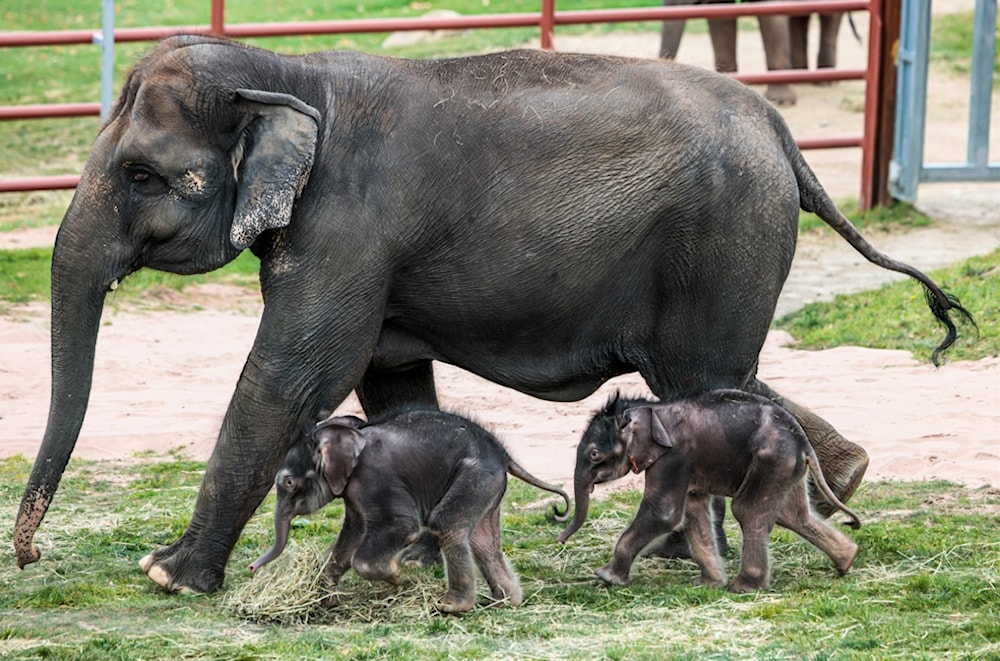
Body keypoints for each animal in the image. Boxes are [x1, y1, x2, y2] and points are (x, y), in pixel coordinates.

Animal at [250, 408, 572, 612]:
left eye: (289, 483)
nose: (252, 568)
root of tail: (503, 454)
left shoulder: (376, 478)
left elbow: (401, 527)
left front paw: (398, 577)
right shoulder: (354, 494)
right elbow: (352, 534)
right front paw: (325, 599)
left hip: (476, 474)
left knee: (447, 525)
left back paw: (452, 606)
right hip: (488, 484)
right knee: (482, 541)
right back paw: (506, 602)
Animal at [560, 390, 864, 592]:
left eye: (594, 454)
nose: (560, 538)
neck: (651, 409)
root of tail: (803, 442)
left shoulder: (674, 457)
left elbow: (664, 513)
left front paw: (605, 577)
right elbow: (693, 510)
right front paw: (708, 583)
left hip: (771, 460)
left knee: (749, 511)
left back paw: (744, 587)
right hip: (785, 467)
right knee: (794, 516)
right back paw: (847, 560)